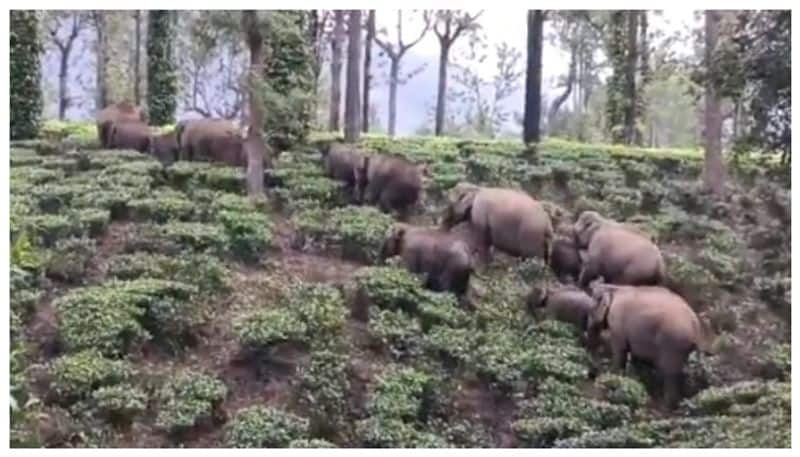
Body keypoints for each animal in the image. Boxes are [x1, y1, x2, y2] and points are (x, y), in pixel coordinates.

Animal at [580, 284, 712, 408]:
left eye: (590, 310)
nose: (593, 374)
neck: (614, 288)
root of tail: (695, 326)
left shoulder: (617, 323)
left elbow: (620, 350)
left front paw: (614, 378)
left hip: (673, 342)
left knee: (670, 373)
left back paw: (665, 406)